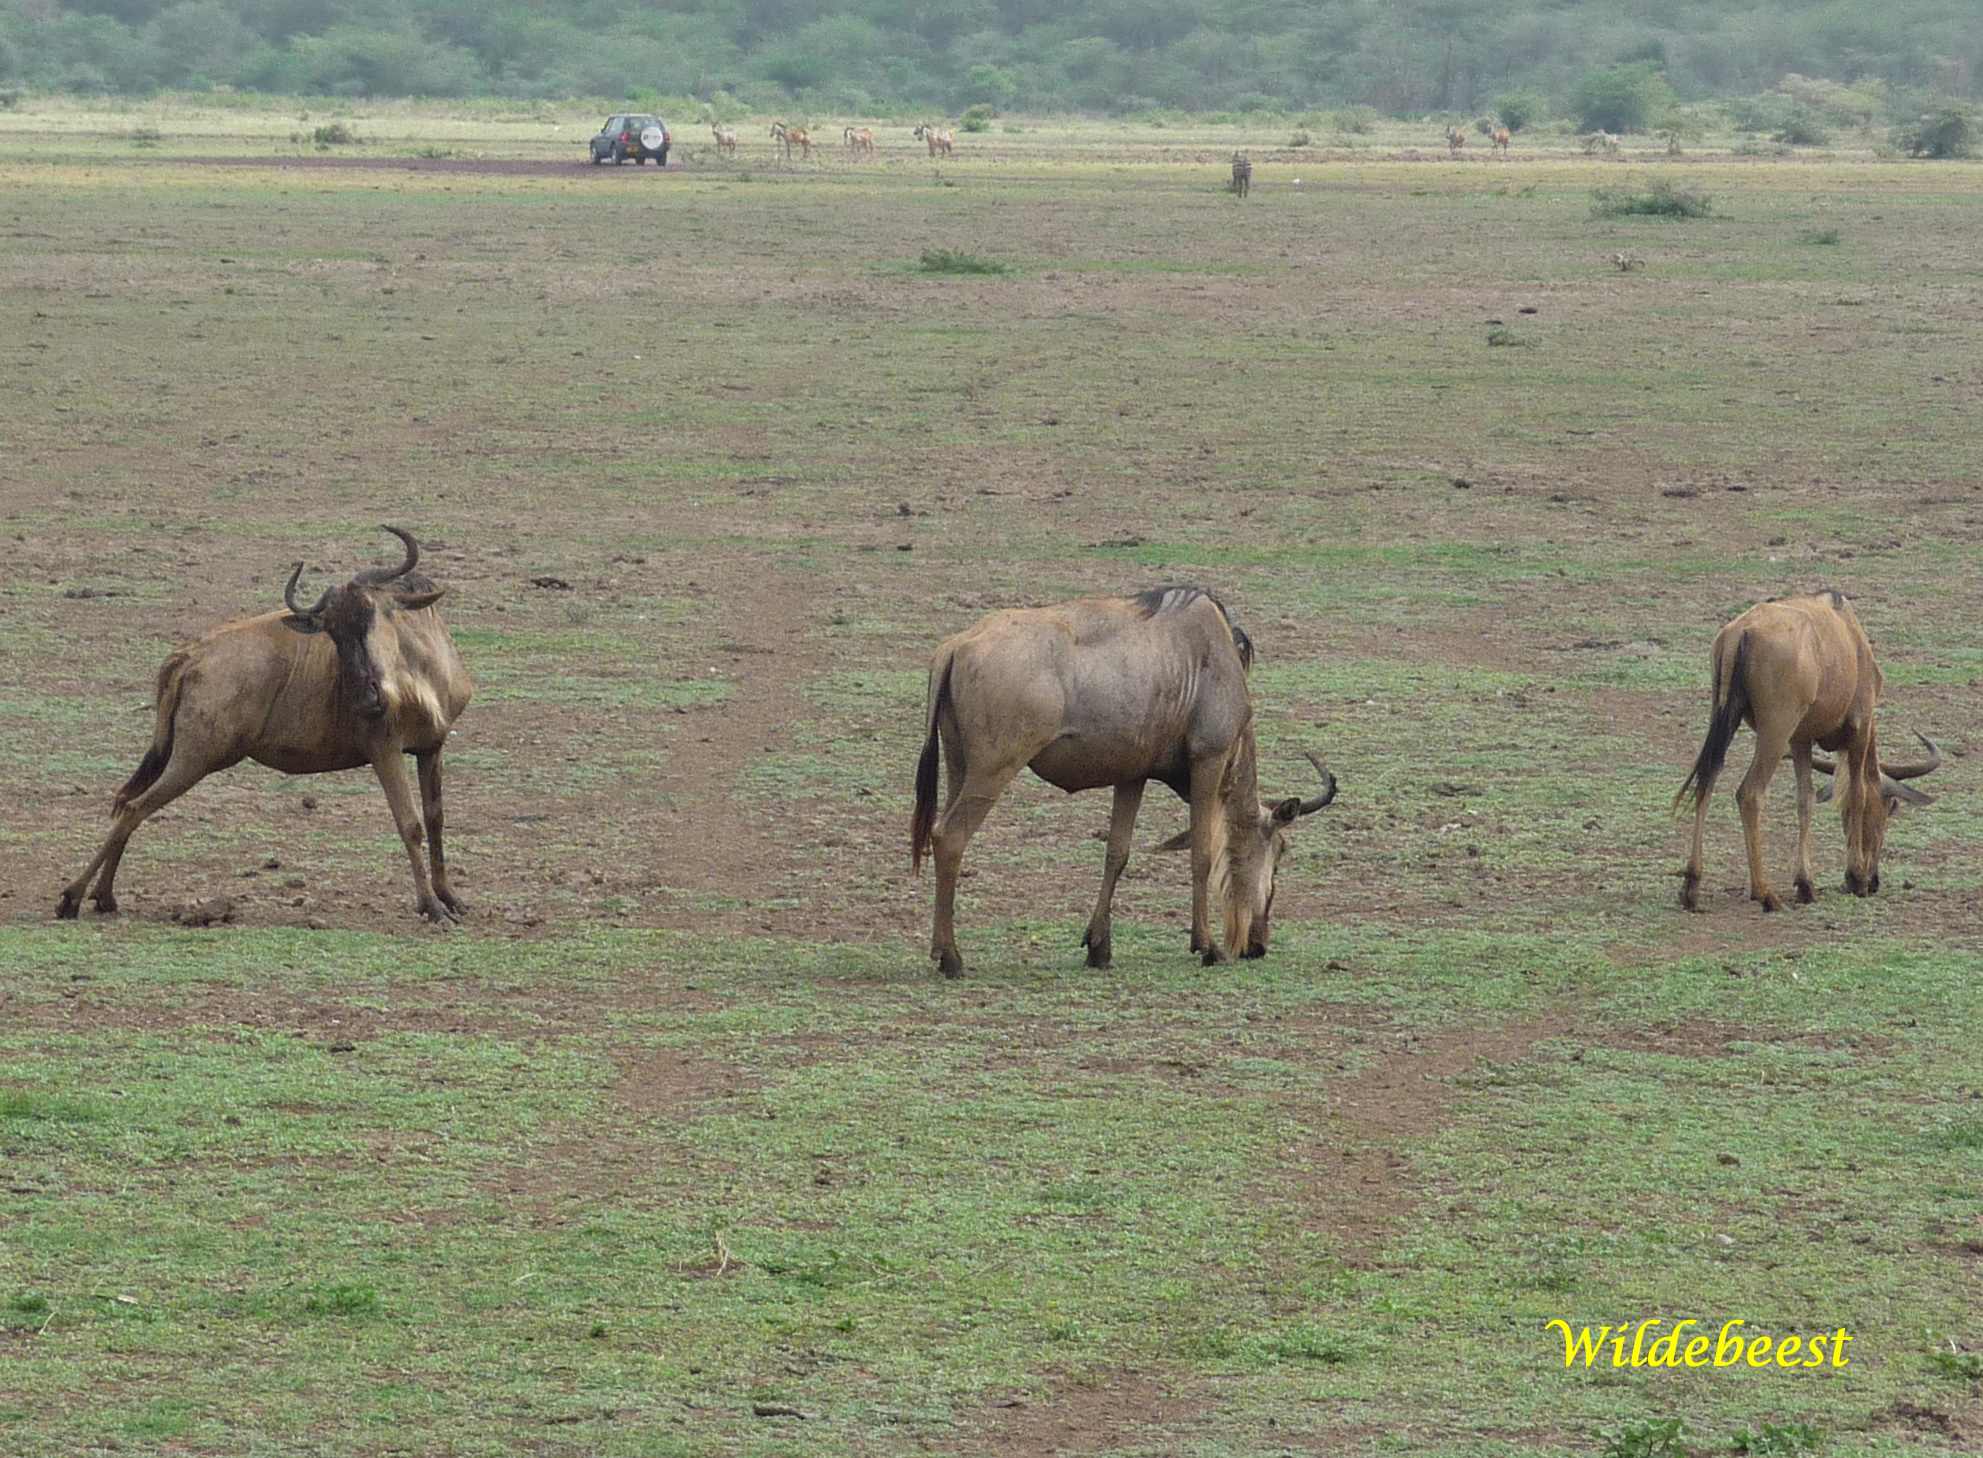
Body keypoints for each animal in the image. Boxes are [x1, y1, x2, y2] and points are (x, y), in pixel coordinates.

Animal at [55, 527, 474, 926]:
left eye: (371, 612)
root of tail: (187, 658)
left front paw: (451, 899)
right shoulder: (384, 750)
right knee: (135, 807)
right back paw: (71, 897)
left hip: (171, 754)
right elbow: (410, 824)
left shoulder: (431, 748)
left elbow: (435, 819)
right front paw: (432, 908)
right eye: (330, 630)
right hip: (195, 760)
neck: (420, 676)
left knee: (128, 801)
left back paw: (104, 897)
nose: (365, 700)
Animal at [910, 586, 1337, 977]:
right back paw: (951, 957)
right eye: (1279, 854)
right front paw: (1207, 945)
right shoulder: (1208, 761)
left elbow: (1117, 853)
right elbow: (1201, 853)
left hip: (960, 769)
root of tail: (958, 644)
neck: (1211, 657)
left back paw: (941, 950)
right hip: (992, 772)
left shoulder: (1132, 775)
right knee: (950, 837)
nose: (1258, 946)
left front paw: (1098, 947)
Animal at [1674, 590, 1940, 913]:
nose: (1875, 880)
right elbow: (1859, 792)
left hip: (1725, 719)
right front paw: (1856, 877)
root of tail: (1743, 631)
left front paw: (1806, 884)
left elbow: (1805, 800)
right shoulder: (1859, 730)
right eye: (1889, 810)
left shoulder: (1800, 741)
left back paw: (1691, 885)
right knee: (1749, 792)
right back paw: (1764, 893)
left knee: (1706, 781)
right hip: (1775, 731)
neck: (1851, 639)